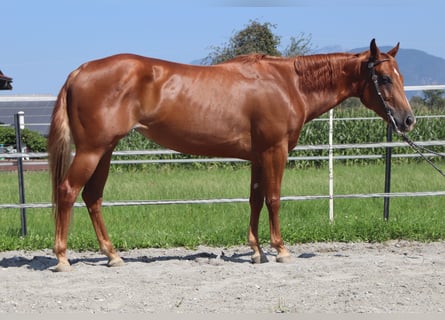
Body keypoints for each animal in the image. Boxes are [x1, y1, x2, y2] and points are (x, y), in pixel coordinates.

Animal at [47, 38, 412, 272]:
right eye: (383, 78)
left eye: (401, 76)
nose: (408, 120)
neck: (288, 84)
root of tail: (80, 71)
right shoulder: (275, 151)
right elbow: (274, 198)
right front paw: (280, 250)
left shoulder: (258, 155)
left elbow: (255, 199)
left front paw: (256, 251)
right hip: (92, 150)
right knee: (68, 191)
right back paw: (62, 259)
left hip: (105, 151)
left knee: (92, 197)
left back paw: (113, 255)